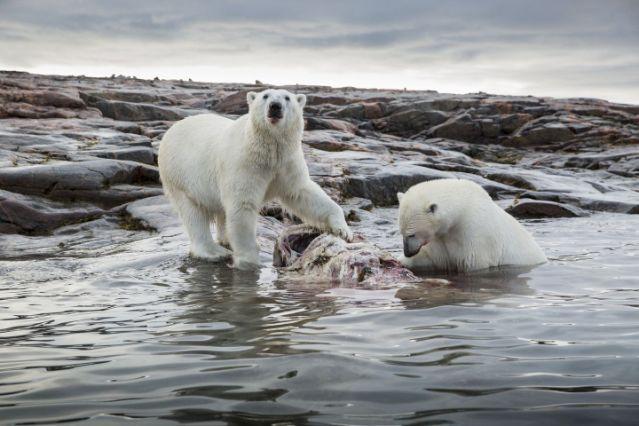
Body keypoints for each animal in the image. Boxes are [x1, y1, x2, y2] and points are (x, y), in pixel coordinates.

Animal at [157, 88, 352, 270]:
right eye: (265, 96)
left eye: (287, 97)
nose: (275, 106)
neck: (267, 150)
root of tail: (173, 127)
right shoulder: (245, 164)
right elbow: (242, 205)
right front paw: (248, 261)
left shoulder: (286, 163)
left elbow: (303, 193)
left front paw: (343, 230)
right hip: (180, 175)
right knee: (193, 213)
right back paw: (213, 251)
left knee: (220, 209)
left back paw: (225, 240)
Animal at [398, 178, 548, 272]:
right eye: (402, 232)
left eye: (411, 234)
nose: (407, 252)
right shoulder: (440, 238)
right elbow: (431, 258)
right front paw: (401, 261)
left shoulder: (475, 233)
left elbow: (472, 262)